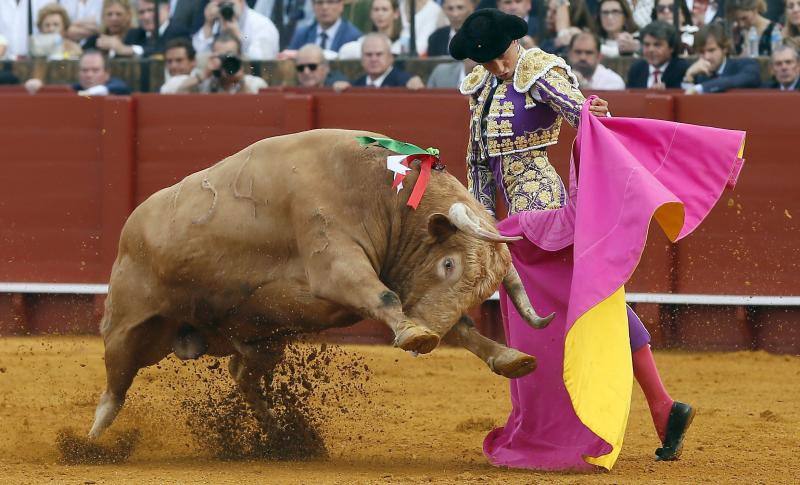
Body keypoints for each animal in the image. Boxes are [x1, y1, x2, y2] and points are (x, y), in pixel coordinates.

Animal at [86, 129, 552, 438]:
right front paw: (415, 335)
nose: (427, 341)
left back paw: (279, 437)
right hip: (130, 324)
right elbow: (383, 296)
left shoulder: (410, 285)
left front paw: (510, 358)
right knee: (115, 382)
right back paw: (93, 441)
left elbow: (462, 327)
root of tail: (133, 223)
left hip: (261, 338)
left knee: (242, 373)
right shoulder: (337, 265)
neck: (382, 192)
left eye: (482, 291)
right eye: (449, 265)